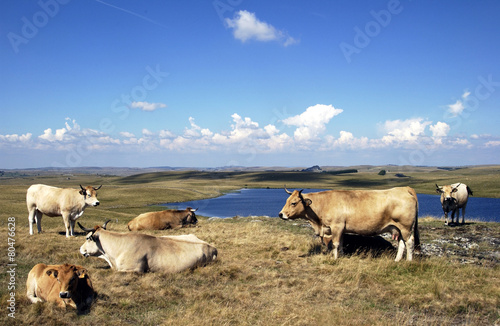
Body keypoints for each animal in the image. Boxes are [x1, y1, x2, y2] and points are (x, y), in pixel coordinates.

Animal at [280, 187, 420, 262]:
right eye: (287, 200)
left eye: (293, 203)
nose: (281, 214)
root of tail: (404, 188)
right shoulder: (341, 229)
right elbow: (341, 243)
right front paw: (341, 255)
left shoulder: (336, 226)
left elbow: (335, 243)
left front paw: (335, 258)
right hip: (398, 228)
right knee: (402, 242)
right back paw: (397, 260)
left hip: (406, 227)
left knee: (409, 242)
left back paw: (408, 261)